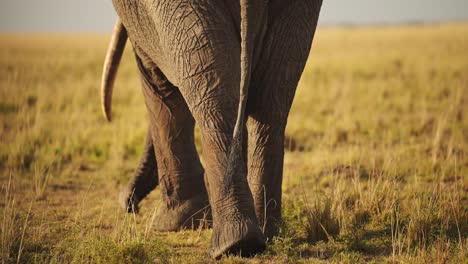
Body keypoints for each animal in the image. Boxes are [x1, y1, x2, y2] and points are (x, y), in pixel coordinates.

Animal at [101, 0, 322, 256]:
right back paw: (264, 234)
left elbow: (160, 84)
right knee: (270, 100)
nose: (129, 205)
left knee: (217, 98)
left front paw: (174, 224)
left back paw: (234, 244)